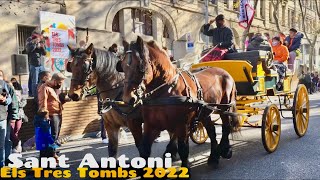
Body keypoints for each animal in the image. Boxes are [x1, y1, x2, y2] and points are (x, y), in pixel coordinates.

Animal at [119, 36, 239, 169]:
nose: (128, 98)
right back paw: (214, 157)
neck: (165, 91)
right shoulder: (151, 125)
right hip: (205, 111)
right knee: (212, 131)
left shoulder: (182, 125)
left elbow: (183, 149)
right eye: (122, 67)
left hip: (225, 108)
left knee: (226, 127)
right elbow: (144, 149)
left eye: (140, 67)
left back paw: (225, 149)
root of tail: (224, 71)